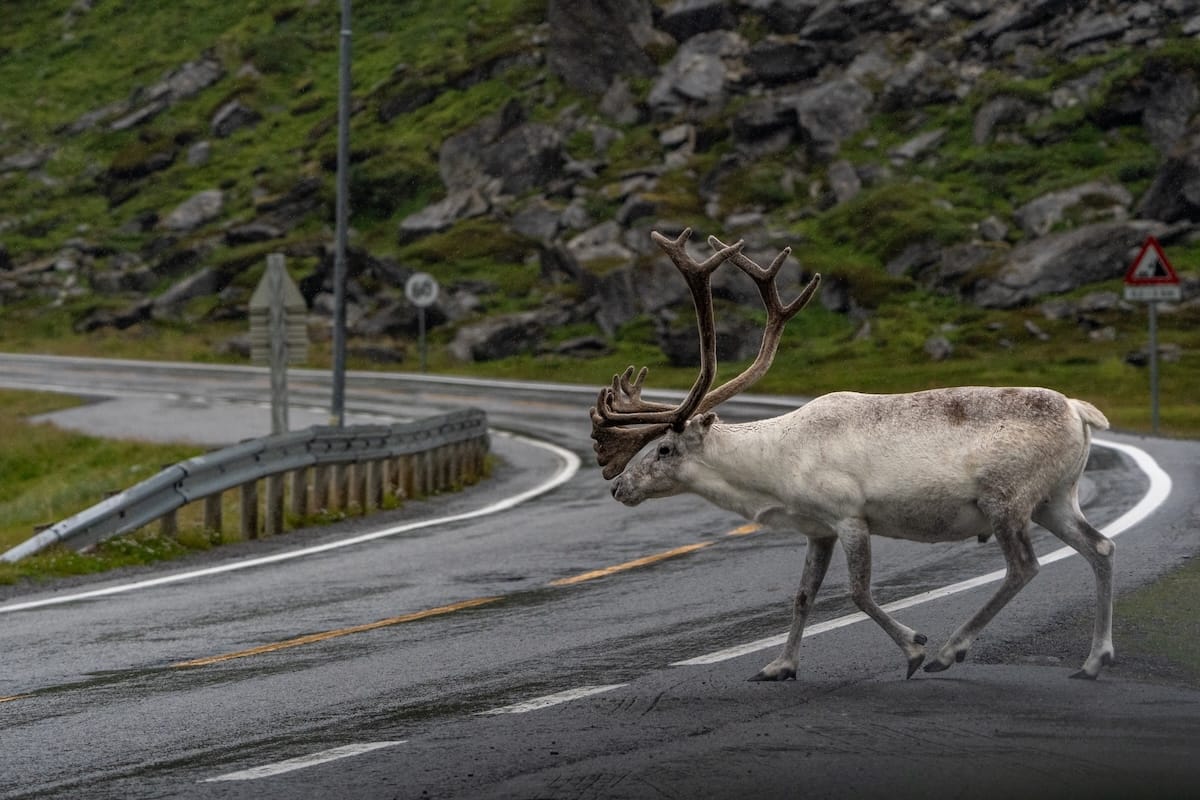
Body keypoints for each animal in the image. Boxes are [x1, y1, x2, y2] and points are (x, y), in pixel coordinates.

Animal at [590, 228, 1115, 682]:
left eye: (664, 447)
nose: (619, 487)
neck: (773, 469)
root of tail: (1080, 410)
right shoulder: (817, 529)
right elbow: (803, 595)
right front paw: (779, 666)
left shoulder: (849, 516)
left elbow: (857, 593)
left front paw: (914, 647)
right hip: (1054, 498)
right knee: (1100, 547)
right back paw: (1093, 660)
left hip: (1006, 500)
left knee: (1024, 566)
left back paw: (949, 650)